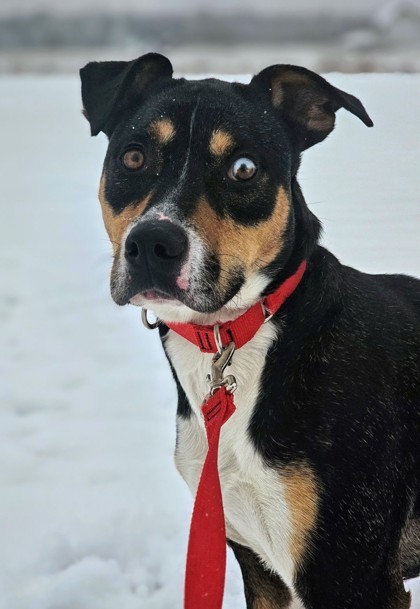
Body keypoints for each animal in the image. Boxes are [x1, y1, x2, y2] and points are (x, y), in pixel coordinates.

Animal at [79, 54, 420, 604]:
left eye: (243, 168)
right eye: (132, 157)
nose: (152, 244)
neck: (246, 333)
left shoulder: (351, 574)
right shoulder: (259, 567)